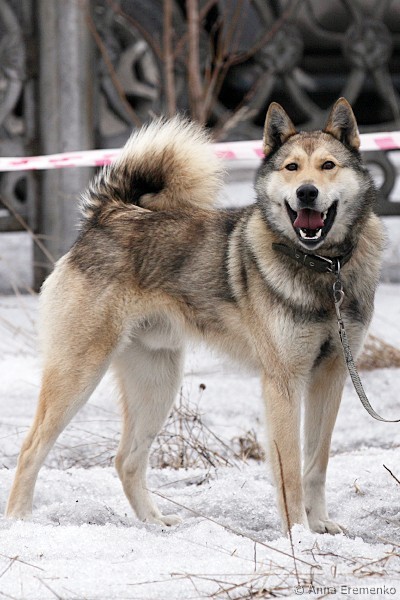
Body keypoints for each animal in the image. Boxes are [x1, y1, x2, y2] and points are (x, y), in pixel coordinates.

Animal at [6, 98, 384, 534]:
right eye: (291, 167)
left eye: (328, 165)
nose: (307, 192)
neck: (323, 267)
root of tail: (109, 214)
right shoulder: (284, 383)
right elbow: (290, 471)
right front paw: (298, 537)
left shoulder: (331, 375)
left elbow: (316, 464)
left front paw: (321, 527)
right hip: (78, 374)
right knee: (31, 447)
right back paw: (18, 520)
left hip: (157, 381)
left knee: (126, 460)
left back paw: (155, 523)